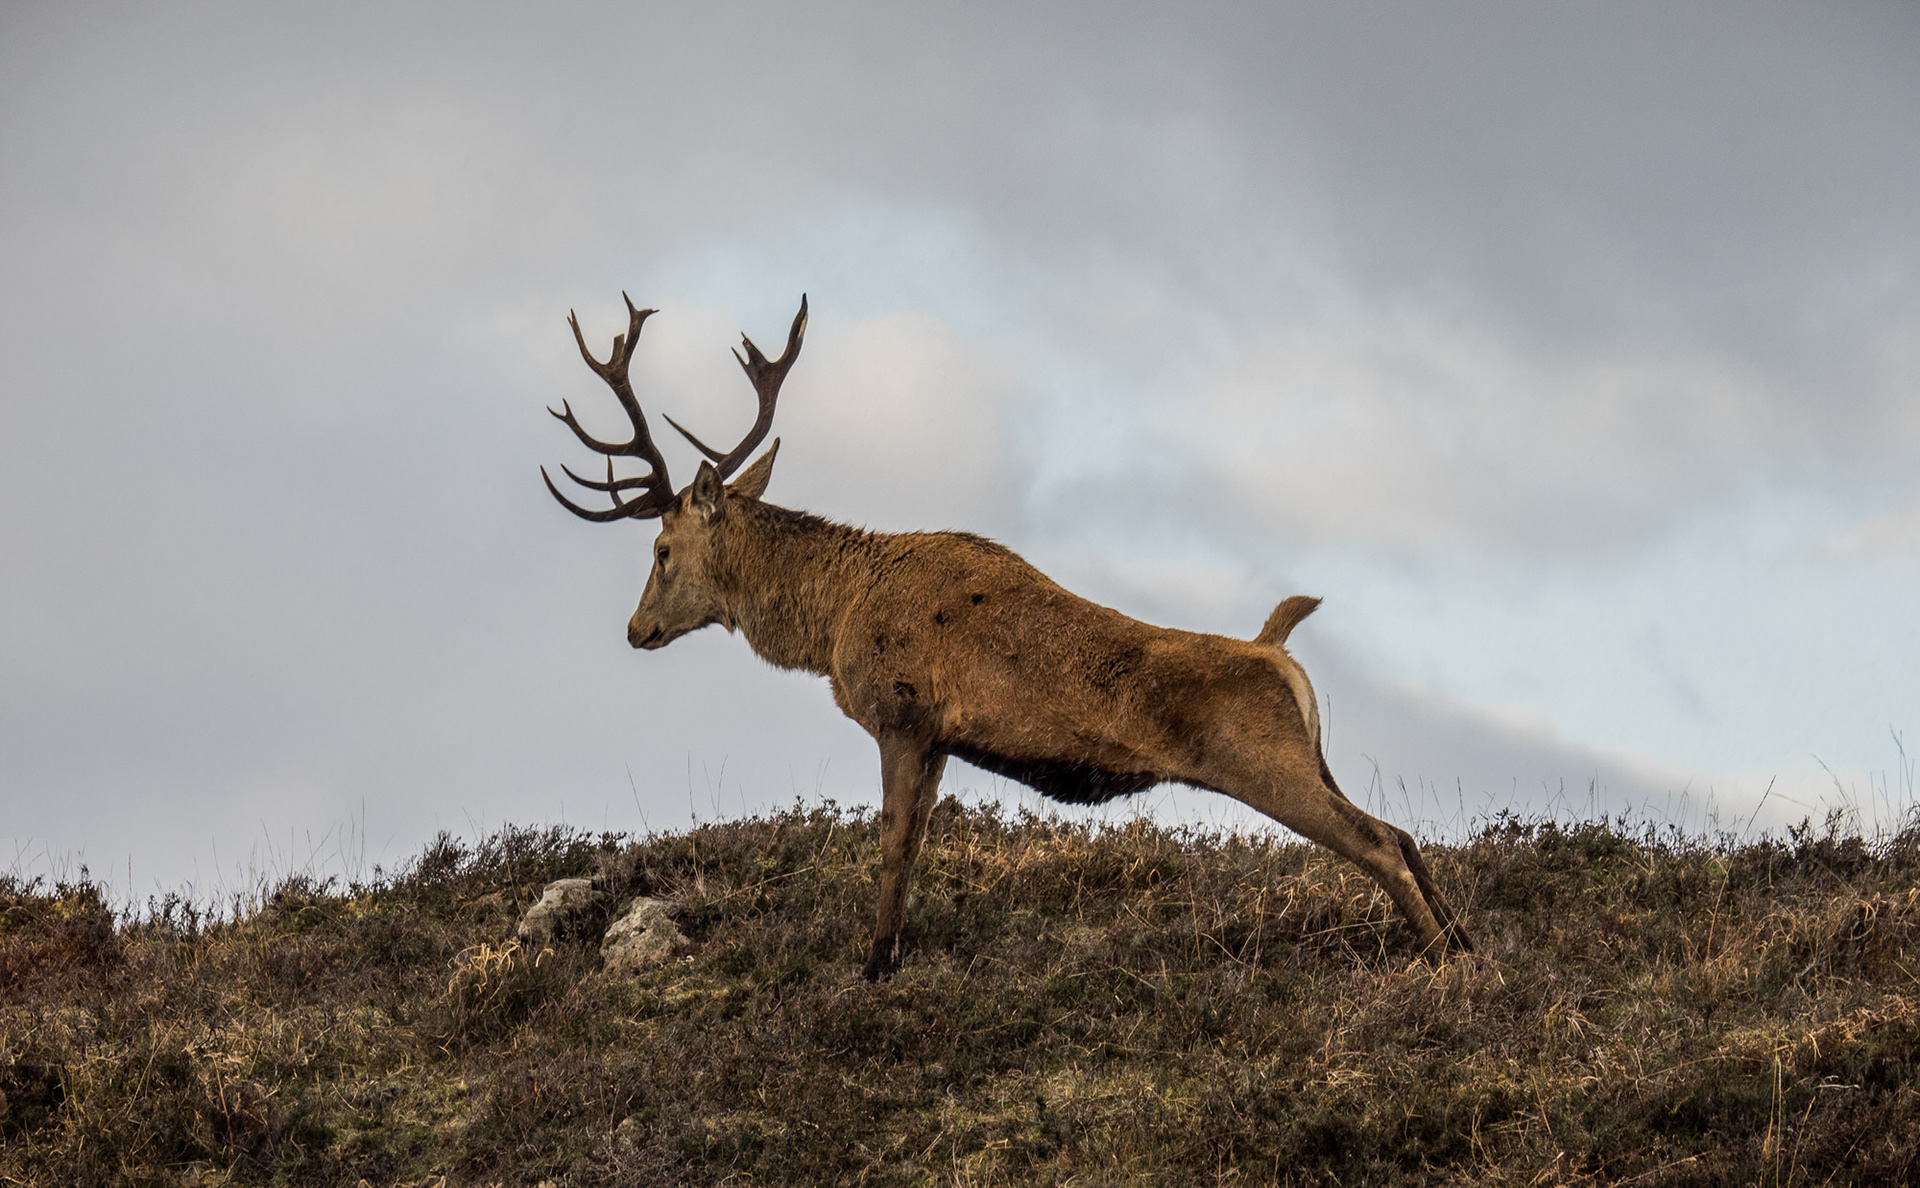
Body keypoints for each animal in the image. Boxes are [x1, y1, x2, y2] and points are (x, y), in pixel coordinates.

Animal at [542, 294, 1473, 980]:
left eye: (661, 550)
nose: (636, 629)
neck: (833, 617)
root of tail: (1282, 655)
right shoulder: (941, 738)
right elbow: (915, 844)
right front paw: (888, 957)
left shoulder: (903, 715)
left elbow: (893, 847)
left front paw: (872, 965)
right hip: (1313, 755)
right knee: (1404, 833)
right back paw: (1468, 945)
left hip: (1267, 763)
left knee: (1378, 841)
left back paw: (1440, 964)